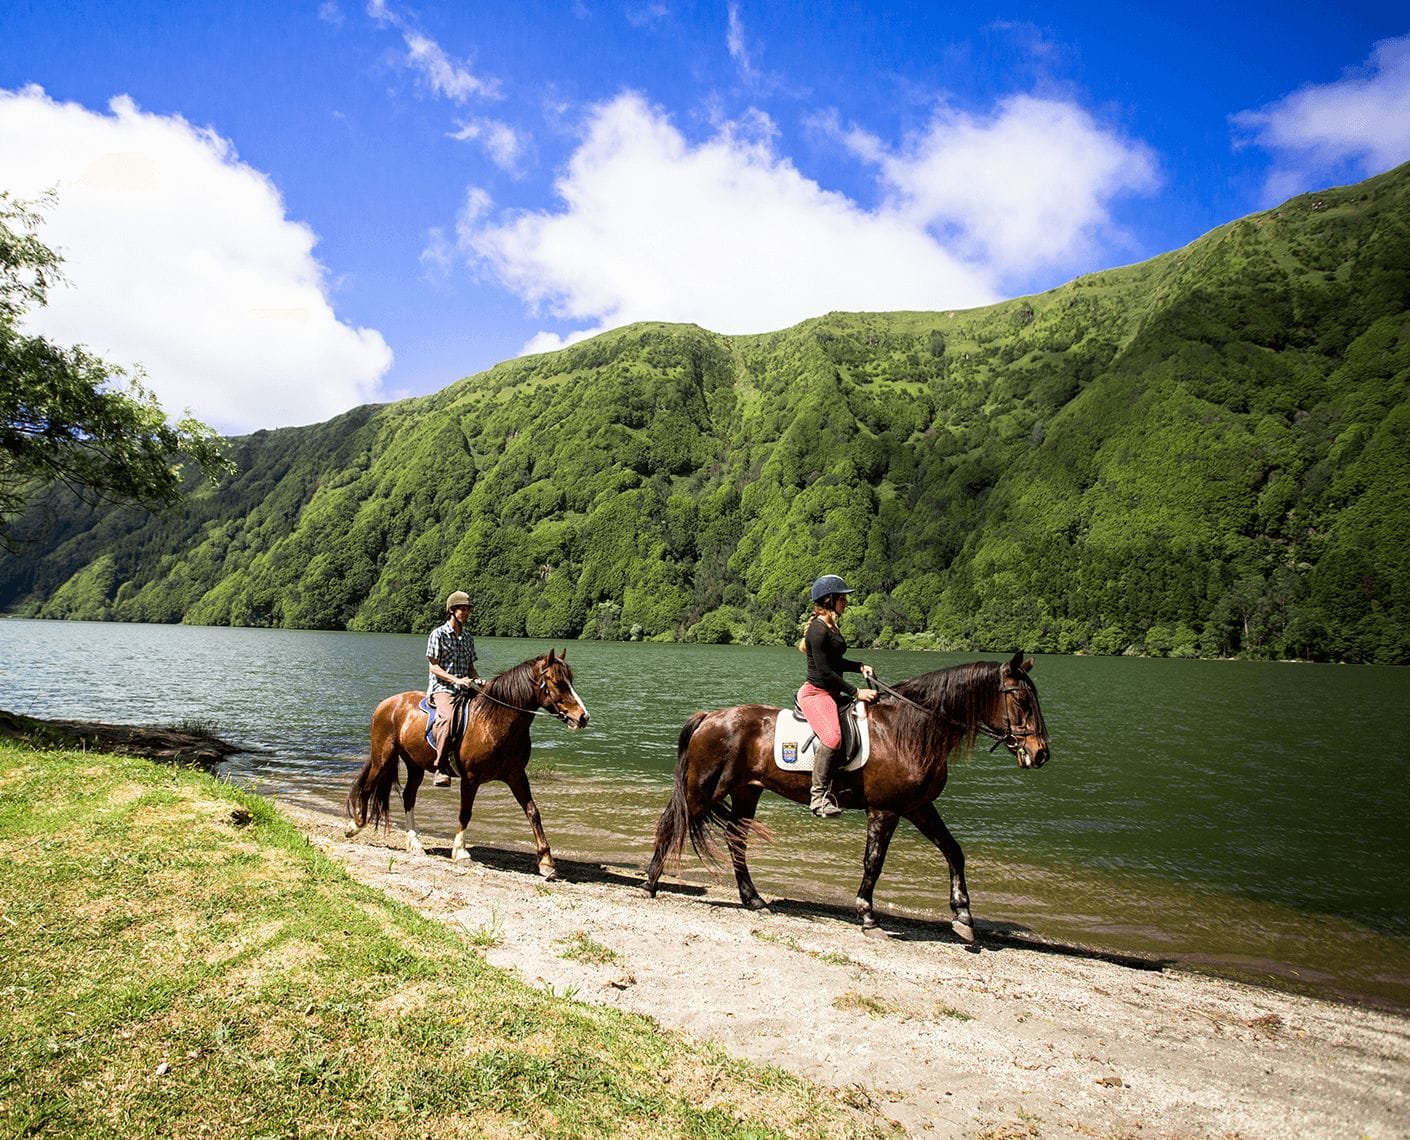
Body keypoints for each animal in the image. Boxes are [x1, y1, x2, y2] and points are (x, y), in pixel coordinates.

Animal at [346, 645, 589, 873]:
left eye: (570, 681)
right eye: (557, 682)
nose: (583, 717)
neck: (494, 722)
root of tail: (387, 703)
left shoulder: (516, 775)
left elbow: (533, 812)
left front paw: (546, 862)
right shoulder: (470, 778)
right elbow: (465, 812)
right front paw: (461, 852)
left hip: (414, 765)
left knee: (408, 797)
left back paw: (414, 843)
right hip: (383, 758)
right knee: (367, 788)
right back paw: (355, 826)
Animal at [645, 653, 1054, 935]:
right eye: (1022, 701)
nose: (1040, 754)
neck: (909, 730)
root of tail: (709, 717)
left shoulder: (919, 806)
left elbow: (954, 852)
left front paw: (964, 915)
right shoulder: (886, 809)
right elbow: (874, 862)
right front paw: (867, 913)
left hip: (746, 792)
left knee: (735, 841)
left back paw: (753, 898)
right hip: (702, 791)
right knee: (670, 825)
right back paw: (650, 883)